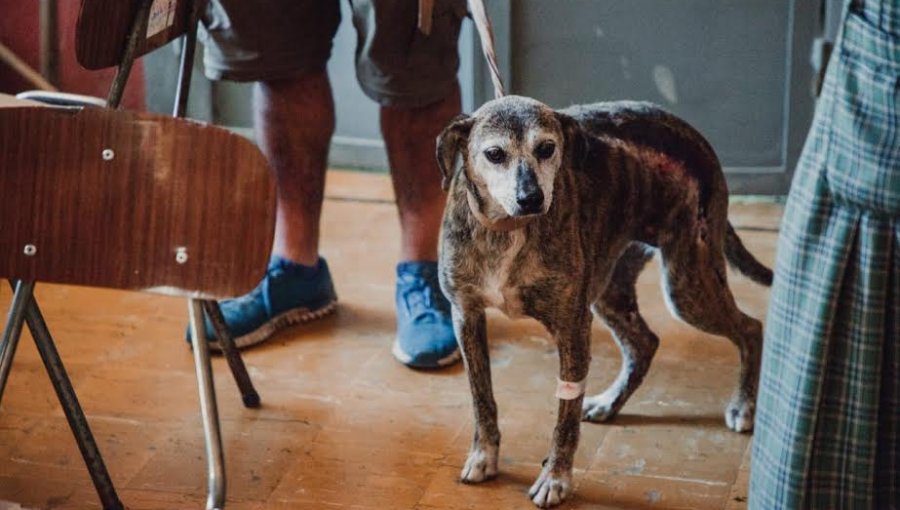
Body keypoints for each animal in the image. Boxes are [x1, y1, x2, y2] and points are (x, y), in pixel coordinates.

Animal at [434, 94, 768, 506]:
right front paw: (483, 455)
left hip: (688, 286)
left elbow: (565, 415)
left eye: (547, 148)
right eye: (494, 154)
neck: (506, 230)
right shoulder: (466, 315)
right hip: (612, 290)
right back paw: (610, 403)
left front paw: (555, 478)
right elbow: (482, 398)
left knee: (751, 328)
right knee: (645, 343)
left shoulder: (572, 327)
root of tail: (697, 140)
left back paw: (744, 405)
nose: (532, 199)